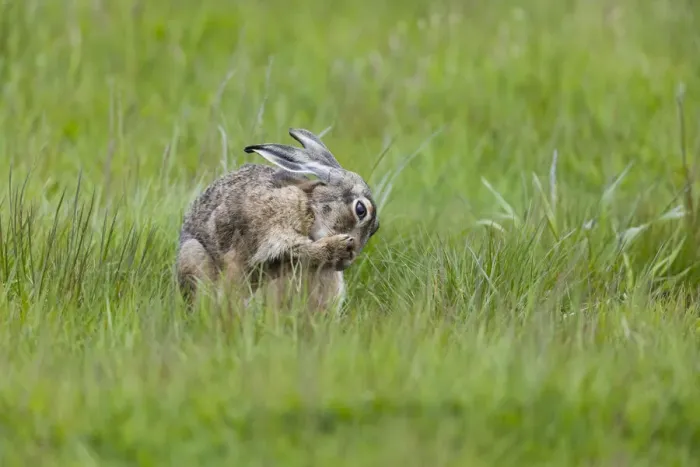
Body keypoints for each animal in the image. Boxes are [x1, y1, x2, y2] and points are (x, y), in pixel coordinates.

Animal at [175, 128, 380, 312]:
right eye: (360, 210)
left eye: (376, 228)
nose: (346, 261)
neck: (311, 205)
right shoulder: (276, 226)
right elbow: (294, 249)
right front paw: (339, 246)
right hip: (193, 255)